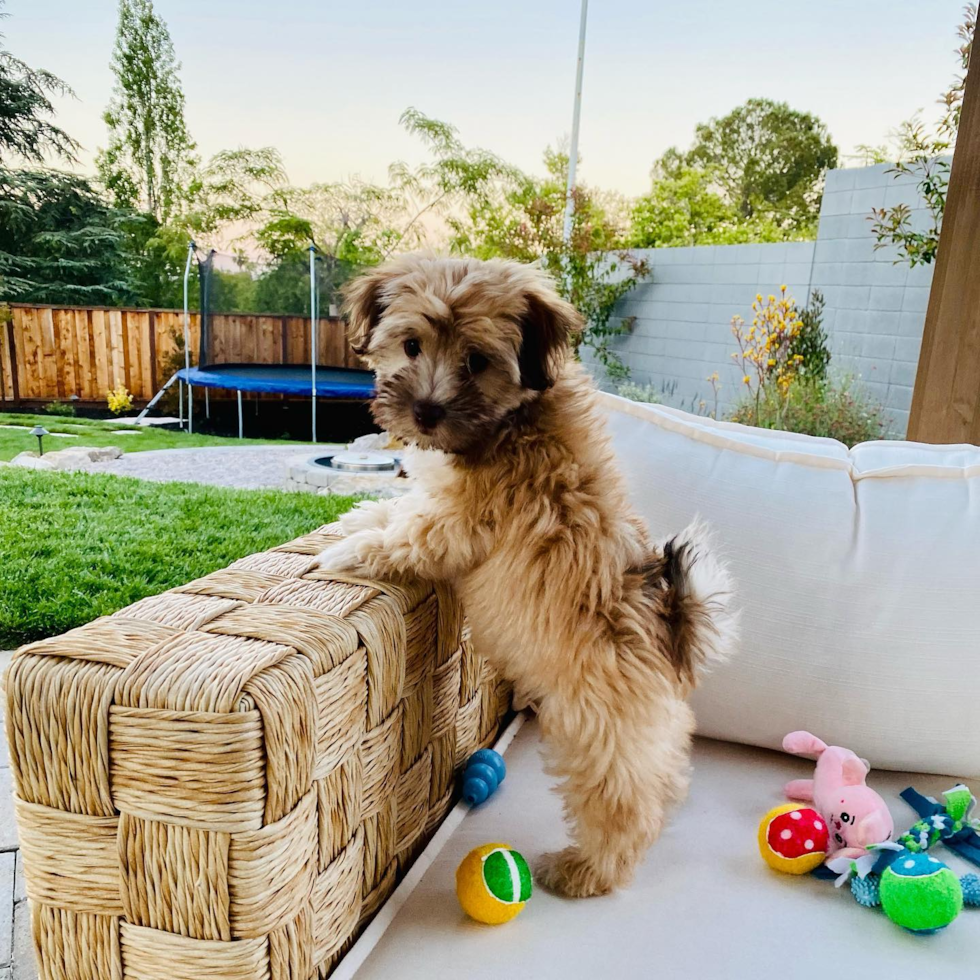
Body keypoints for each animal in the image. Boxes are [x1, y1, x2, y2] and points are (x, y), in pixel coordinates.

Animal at [318, 256, 740, 900]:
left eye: (476, 360)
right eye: (411, 345)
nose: (426, 412)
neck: (511, 419)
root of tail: (673, 632)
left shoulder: (458, 522)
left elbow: (406, 535)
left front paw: (348, 549)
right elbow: (398, 510)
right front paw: (356, 518)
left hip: (599, 731)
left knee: (623, 807)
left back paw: (586, 870)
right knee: (661, 775)